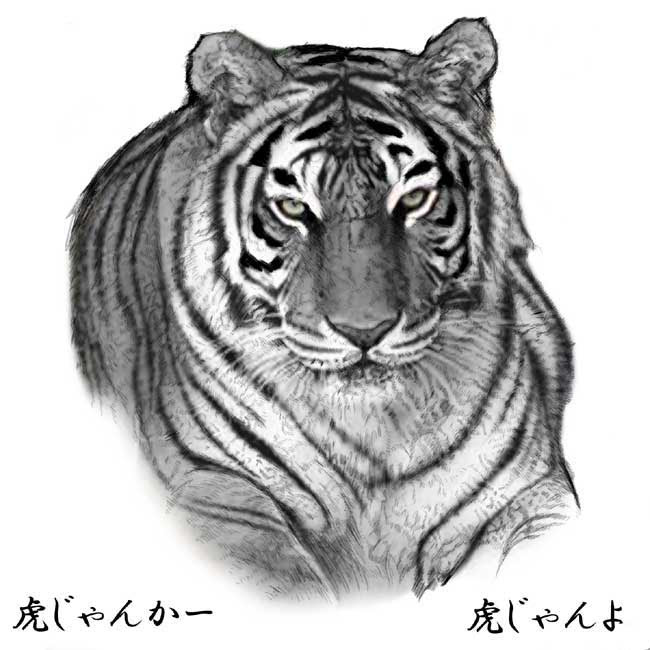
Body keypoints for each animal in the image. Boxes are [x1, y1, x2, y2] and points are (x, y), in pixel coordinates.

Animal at [68, 18, 579, 600]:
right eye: (294, 208)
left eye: (413, 199)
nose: (365, 331)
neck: (376, 435)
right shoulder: (207, 488)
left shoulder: (529, 493)